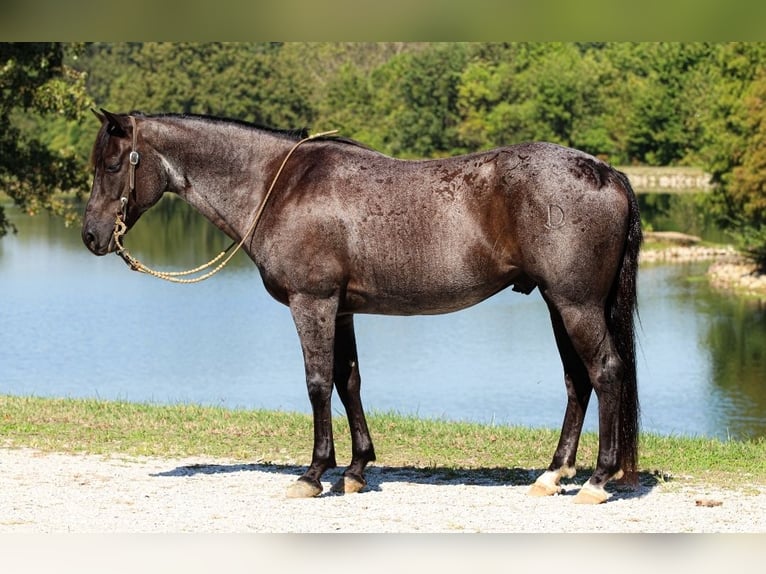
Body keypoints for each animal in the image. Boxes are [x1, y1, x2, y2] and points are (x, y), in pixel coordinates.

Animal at [82, 109, 641, 504]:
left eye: (111, 165)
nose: (90, 236)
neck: (278, 185)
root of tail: (606, 172)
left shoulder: (312, 303)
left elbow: (316, 383)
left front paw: (313, 474)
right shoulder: (342, 310)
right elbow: (347, 381)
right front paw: (355, 470)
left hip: (576, 304)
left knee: (606, 372)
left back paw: (597, 479)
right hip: (558, 304)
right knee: (578, 381)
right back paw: (553, 474)